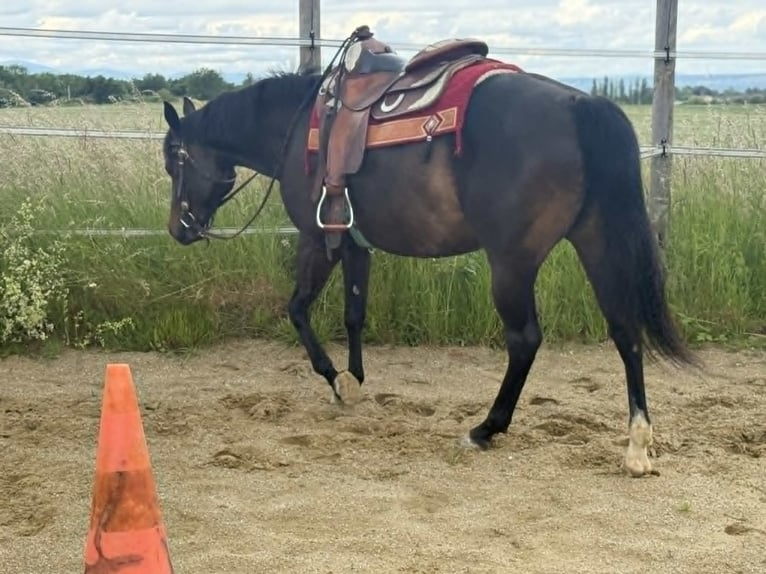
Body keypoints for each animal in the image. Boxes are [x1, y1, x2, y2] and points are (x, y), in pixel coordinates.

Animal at [160, 33, 694, 477]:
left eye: (172, 160)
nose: (179, 229)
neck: (301, 129)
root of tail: (581, 103)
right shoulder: (353, 242)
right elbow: (354, 312)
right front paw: (356, 378)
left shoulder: (316, 238)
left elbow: (297, 309)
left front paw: (335, 379)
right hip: (596, 241)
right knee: (625, 329)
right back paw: (637, 444)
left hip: (512, 262)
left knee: (525, 340)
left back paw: (486, 428)